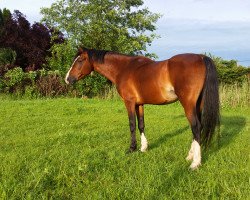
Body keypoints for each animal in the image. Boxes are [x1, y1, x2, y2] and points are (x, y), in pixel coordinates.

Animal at [65, 47, 219, 170]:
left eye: (80, 60)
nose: (67, 79)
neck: (124, 68)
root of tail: (201, 57)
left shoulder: (129, 102)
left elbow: (132, 125)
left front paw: (132, 148)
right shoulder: (139, 104)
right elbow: (141, 125)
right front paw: (143, 148)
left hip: (188, 104)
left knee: (196, 127)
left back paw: (195, 163)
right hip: (197, 104)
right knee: (197, 128)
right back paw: (190, 156)